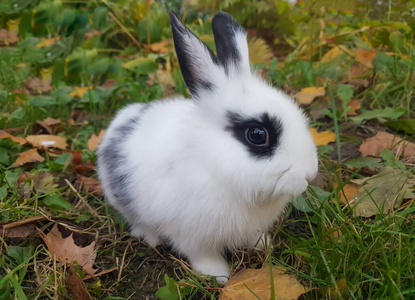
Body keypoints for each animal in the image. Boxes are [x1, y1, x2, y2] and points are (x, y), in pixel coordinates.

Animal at [97, 11, 318, 282]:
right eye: (257, 135)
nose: (310, 174)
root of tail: (119, 120)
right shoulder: (190, 235)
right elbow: (202, 255)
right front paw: (218, 276)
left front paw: (265, 246)